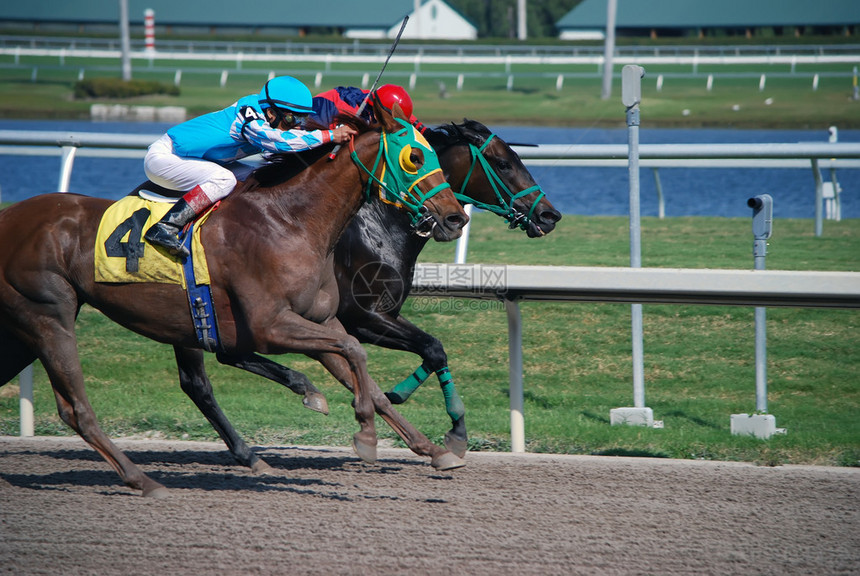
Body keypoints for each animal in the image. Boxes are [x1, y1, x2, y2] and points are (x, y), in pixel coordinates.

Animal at [0, 102, 470, 496]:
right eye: (414, 157)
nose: (455, 218)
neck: (289, 221)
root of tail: (10, 215)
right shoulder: (269, 324)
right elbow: (354, 351)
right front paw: (366, 434)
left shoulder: (323, 320)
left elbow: (362, 371)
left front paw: (434, 449)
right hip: (48, 314)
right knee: (77, 407)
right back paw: (144, 480)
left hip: (32, 329)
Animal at [170, 119, 560, 470]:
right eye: (503, 163)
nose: (550, 214)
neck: (381, 225)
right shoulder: (361, 318)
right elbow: (431, 348)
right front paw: (453, 432)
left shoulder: (382, 313)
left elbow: (433, 348)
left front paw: (404, 399)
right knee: (197, 383)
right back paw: (252, 446)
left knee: (227, 355)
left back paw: (304, 391)